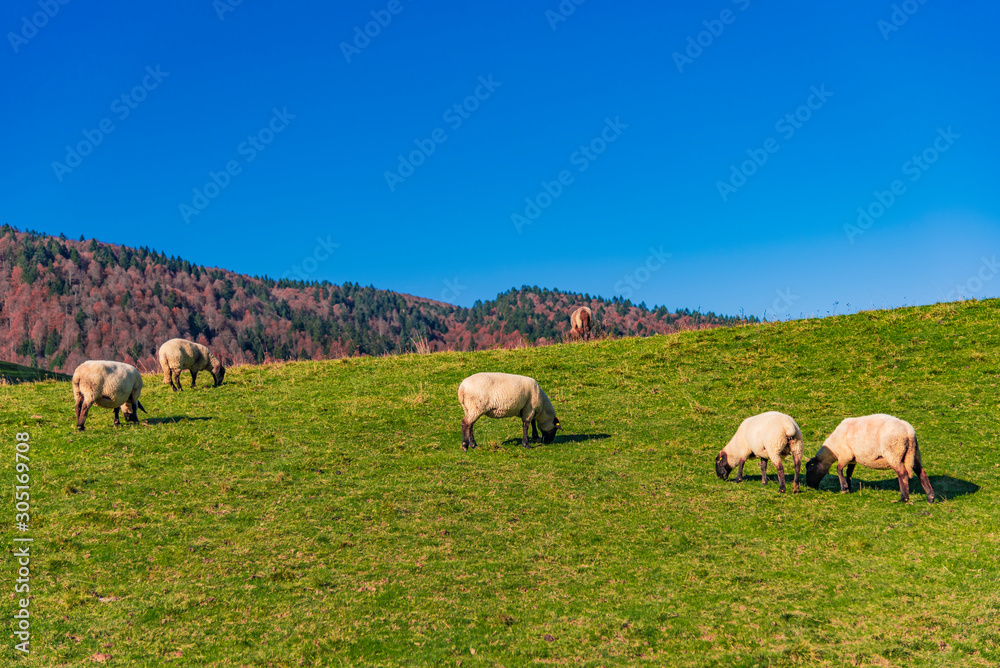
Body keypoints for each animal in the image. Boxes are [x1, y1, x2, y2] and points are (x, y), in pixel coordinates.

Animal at [805, 414, 934, 503]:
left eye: (810, 469)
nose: (809, 486)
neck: (833, 448)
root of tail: (908, 430)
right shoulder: (853, 458)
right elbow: (848, 473)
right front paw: (849, 488)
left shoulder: (845, 455)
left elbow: (839, 469)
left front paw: (844, 488)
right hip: (914, 454)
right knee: (922, 473)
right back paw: (930, 498)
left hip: (894, 453)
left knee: (902, 474)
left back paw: (904, 498)